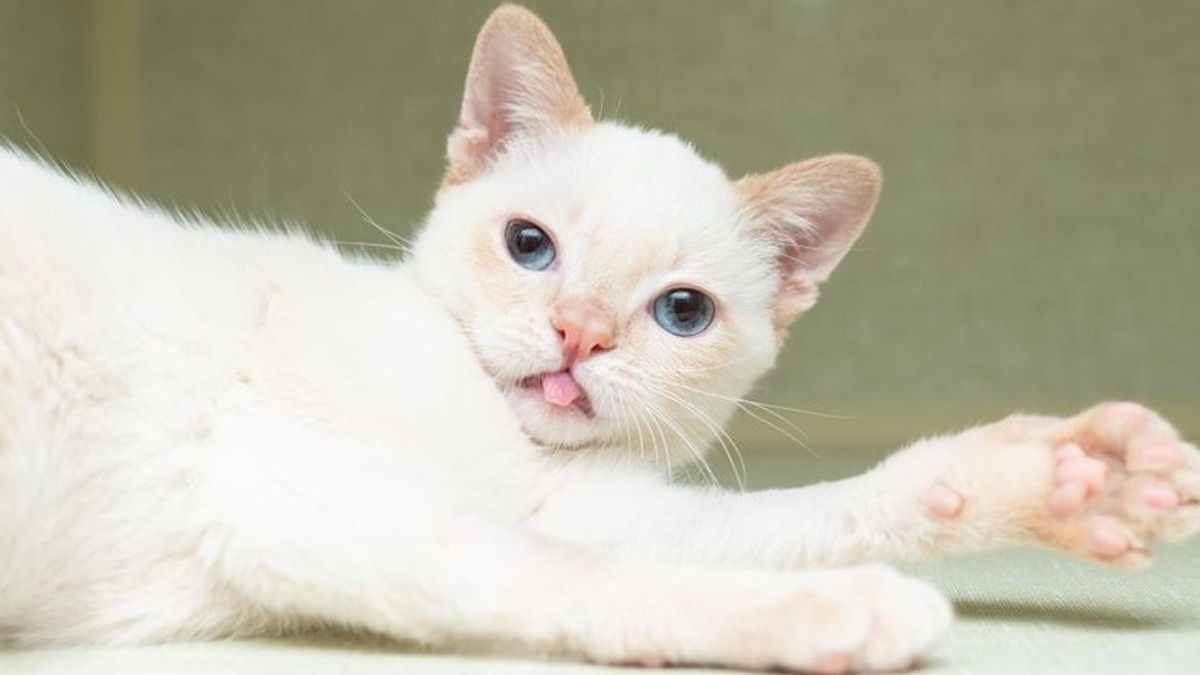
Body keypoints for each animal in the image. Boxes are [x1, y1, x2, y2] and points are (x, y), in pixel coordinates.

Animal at [2, 5, 1200, 672]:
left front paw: (1066, 480)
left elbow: (804, 514)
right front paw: (830, 614)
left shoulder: (576, 500)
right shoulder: (281, 490)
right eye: (530, 246)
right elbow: (567, 573)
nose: (577, 336)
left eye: (682, 313)